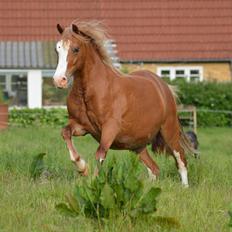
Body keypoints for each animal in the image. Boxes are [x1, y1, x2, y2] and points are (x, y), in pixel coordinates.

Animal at [53, 20, 193, 188]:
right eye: (57, 49)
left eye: (75, 49)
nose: (59, 80)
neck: (91, 91)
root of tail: (164, 87)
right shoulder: (81, 126)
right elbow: (65, 133)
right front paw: (82, 167)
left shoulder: (110, 128)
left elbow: (100, 153)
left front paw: (91, 181)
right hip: (137, 145)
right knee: (154, 168)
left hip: (169, 130)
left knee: (180, 158)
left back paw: (185, 187)